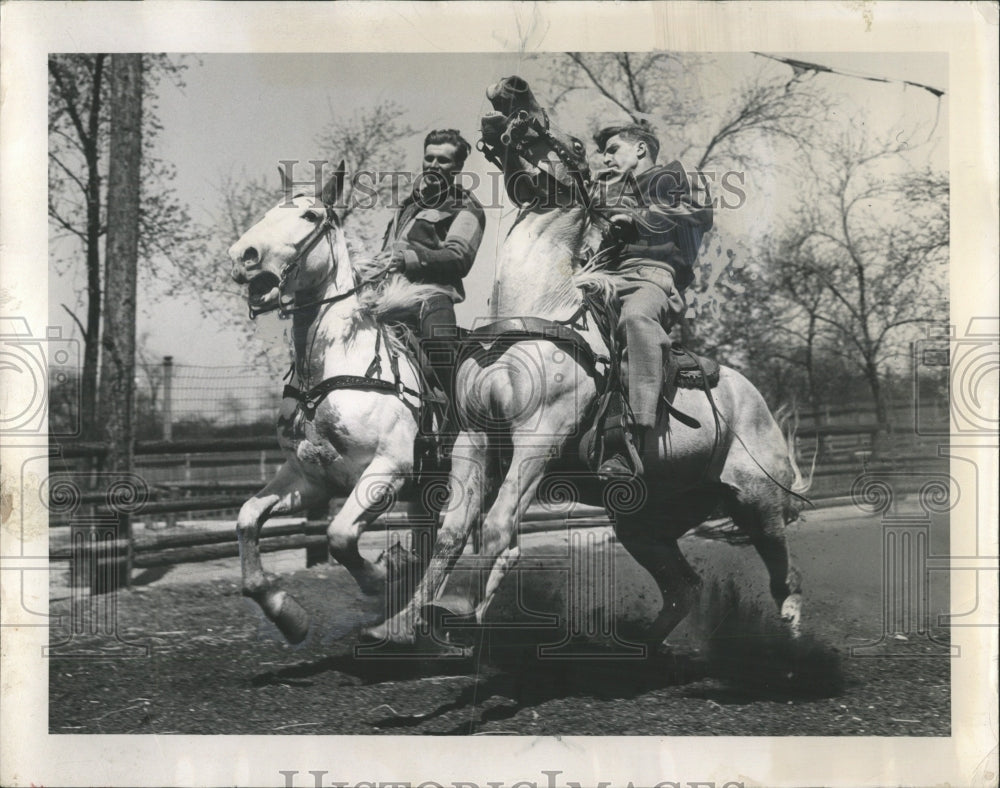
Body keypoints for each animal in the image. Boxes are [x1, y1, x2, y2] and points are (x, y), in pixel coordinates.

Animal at [230, 163, 442, 644]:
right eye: (269, 211)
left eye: (310, 215)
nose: (242, 255)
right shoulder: (309, 479)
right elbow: (248, 517)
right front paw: (287, 614)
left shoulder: (389, 469)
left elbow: (341, 535)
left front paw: (382, 575)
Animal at [368, 77, 812, 648]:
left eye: (576, 144)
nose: (512, 89)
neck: (536, 312)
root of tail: (752, 399)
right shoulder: (475, 434)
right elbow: (452, 530)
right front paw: (399, 622)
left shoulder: (539, 436)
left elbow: (496, 524)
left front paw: (456, 608)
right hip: (643, 519)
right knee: (684, 586)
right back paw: (640, 647)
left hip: (757, 497)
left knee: (782, 568)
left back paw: (792, 634)